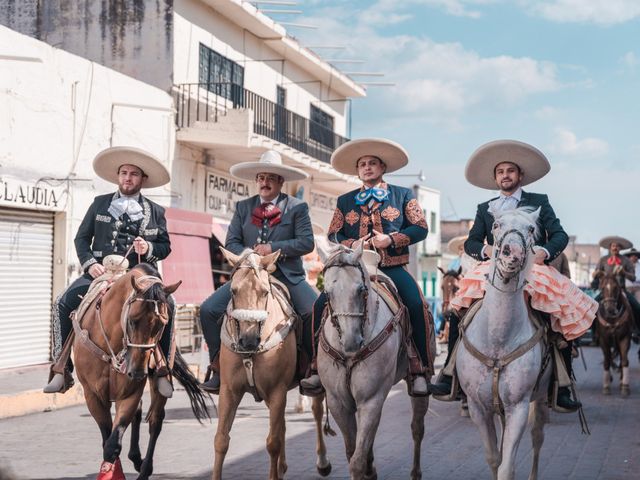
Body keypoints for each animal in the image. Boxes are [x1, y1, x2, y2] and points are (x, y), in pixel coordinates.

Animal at [74, 264, 210, 478]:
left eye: (163, 324)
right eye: (132, 320)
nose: (137, 372)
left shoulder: (129, 393)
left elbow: (112, 444)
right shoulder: (92, 395)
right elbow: (107, 439)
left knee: (155, 422)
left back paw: (145, 468)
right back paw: (136, 458)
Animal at [212, 249, 330, 480]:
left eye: (265, 292)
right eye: (233, 291)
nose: (248, 340)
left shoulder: (277, 390)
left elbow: (273, 443)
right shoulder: (229, 391)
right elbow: (221, 440)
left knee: (316, 411)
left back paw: (322, 462)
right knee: (282, 425)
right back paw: (283, 466)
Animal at [316, 246, 428, 480]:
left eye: (361, 290)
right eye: (327, 294)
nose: (351, 341)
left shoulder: (371, 399)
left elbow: (356, 461)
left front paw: (364, 467)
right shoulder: (338, 402)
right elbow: (352, 450)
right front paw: (369, 467)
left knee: (417, 428)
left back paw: (415, 471)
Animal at [456, 208, 552, 480]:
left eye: (531, 228)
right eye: (496, 224)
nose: (513, 253)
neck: (498, 339)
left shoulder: (518, 407)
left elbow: (506, 467)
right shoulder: (478, 408)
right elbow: (494, 458)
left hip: (541, 399)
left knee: (538, 438)